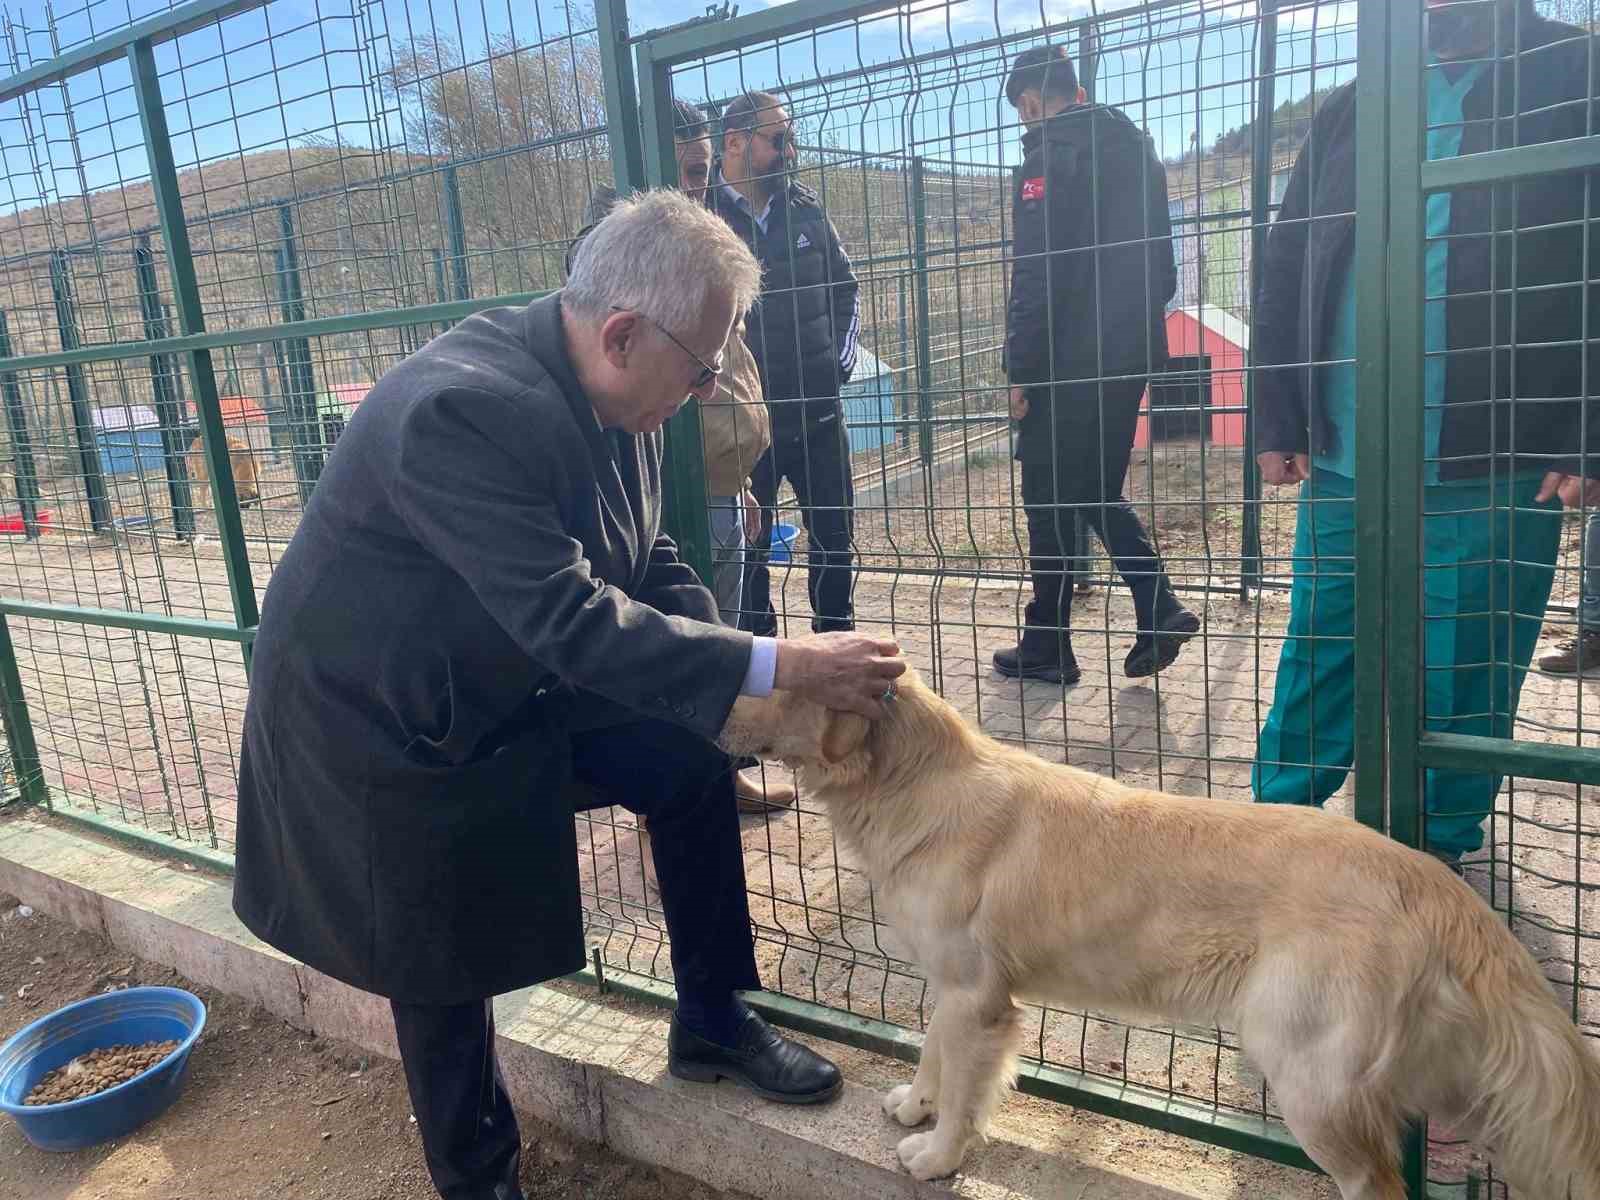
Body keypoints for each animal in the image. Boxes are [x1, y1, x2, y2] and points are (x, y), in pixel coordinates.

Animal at [723, 672, 1600, 1200]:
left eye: (771, 679)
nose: (711, 710)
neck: (913, 785)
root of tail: (1429, 880)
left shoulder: (980, 998)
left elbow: (967, 1088)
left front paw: (938, 1157)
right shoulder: (953, 982)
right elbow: (930, 1050)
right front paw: (914, 1106)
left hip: (1310, 1080)